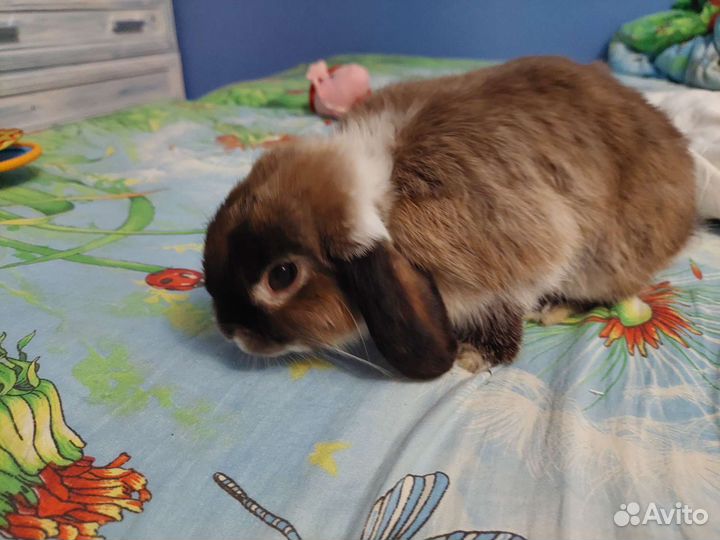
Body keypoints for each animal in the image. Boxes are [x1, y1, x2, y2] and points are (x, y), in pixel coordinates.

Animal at [203, 56, 696, 379]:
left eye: (282, 275)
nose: (229, 332)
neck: (386, 188)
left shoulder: (521, 256)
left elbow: (507, 304)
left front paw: (472, 358)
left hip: (605, 259)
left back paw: (554, 309)